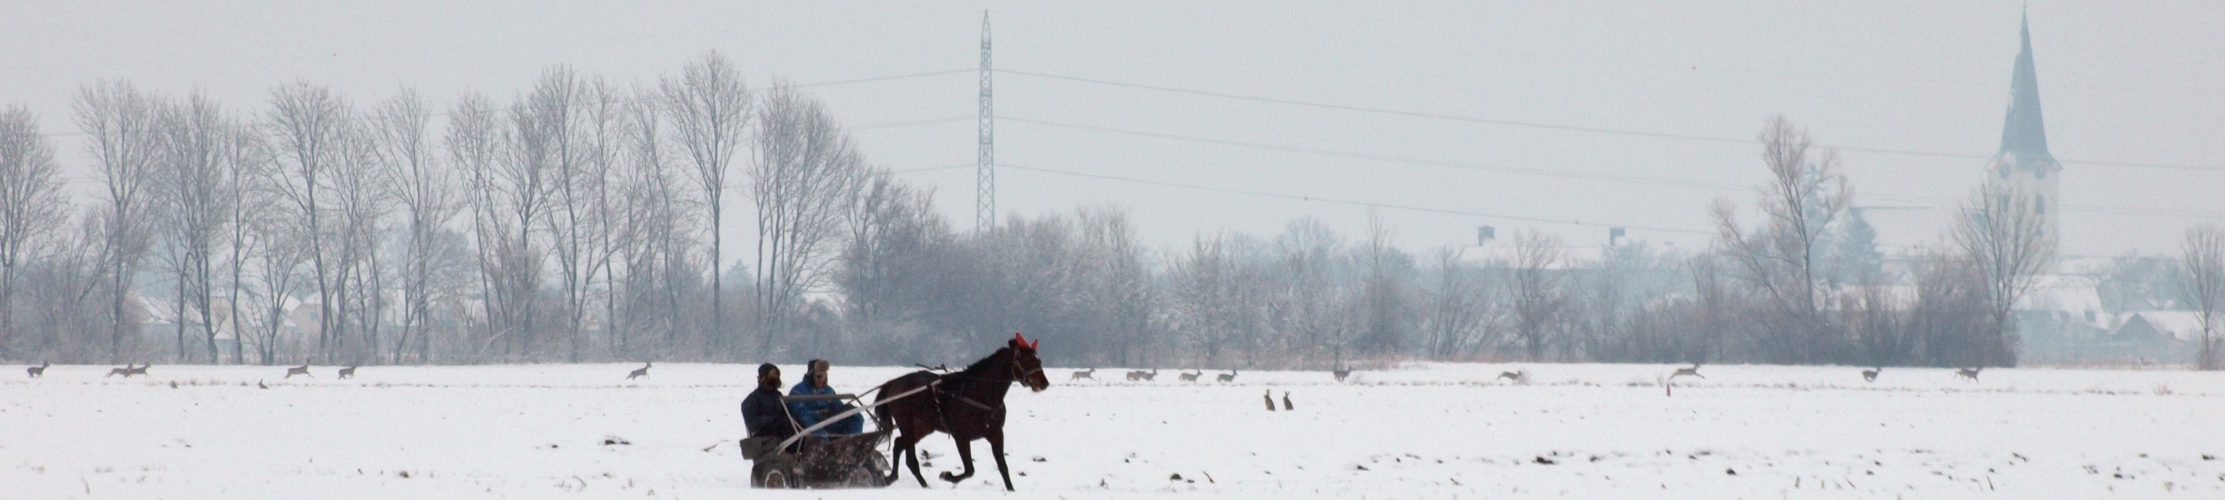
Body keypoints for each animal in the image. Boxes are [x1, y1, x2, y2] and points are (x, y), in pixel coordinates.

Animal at [872, 333, 1045, 491]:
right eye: (1024, 359)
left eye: (1038, 360)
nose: (1044, 383)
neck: (979, 395)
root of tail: (894, 383)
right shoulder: (961, 436)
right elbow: (969, 470)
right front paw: (947, 476)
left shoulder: (996, 433)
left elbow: (1003, 467)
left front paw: (1011, 490)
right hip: (906, 423)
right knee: (910, 459)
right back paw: (923, 485)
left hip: (923, 427)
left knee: (898, 444)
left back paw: (893, 477)